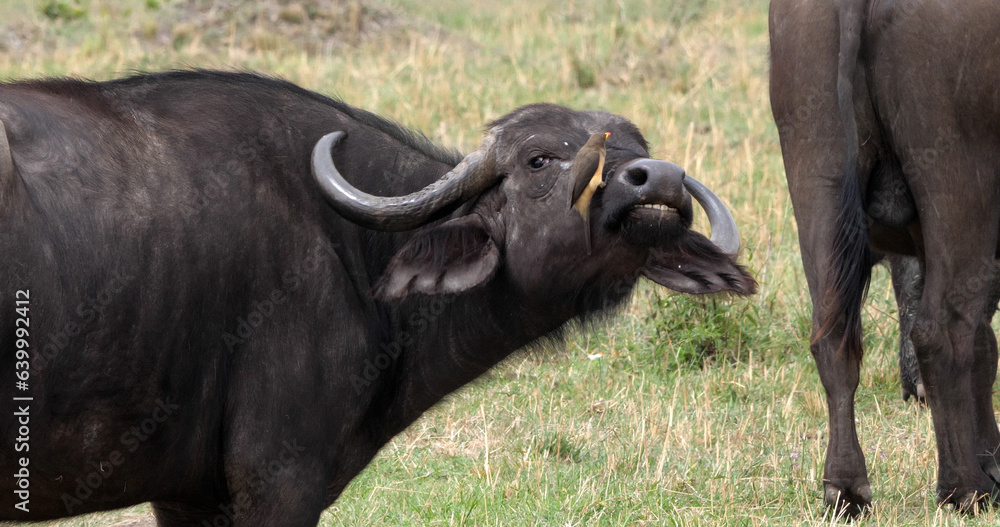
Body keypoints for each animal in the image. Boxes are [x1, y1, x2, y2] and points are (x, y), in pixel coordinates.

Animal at [0, 70, 755, 526]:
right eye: (539, 158)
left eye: (636, 144)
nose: (659, 179)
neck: (351, 250)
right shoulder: (278, 480)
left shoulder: (188, 494)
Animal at [770, 0, 1000, 516]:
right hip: (962, 188)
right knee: (941, 332)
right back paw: (963, 488)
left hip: (816, 176)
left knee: (832, 340)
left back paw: (845, 488)